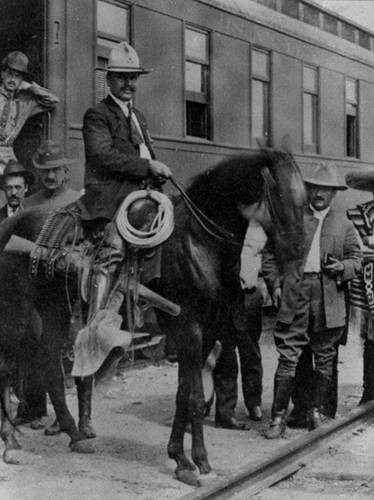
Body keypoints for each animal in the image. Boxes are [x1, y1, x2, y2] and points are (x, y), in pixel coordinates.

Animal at [0, 150, 306, 482]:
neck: (198, 242)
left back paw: (76, 436)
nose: (299, 251)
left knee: (50, 368)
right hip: (16, 315)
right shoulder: (188, 329)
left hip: (54, 311)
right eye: (278, 194)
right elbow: (195, 397)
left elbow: (184, 394)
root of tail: (8, 225)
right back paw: (12, 442)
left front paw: (181, 458)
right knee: (6, 371)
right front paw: (196, 461)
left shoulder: (206, 332)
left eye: (304, 198)